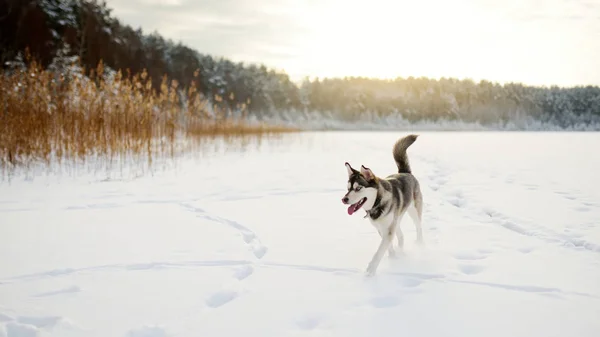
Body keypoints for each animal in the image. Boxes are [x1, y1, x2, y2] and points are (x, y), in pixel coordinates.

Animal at [342, 134, 422, 276]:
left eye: (358, 188)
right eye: (348, 189)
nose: (344, 199)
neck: (377, 203)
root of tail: (405, 172)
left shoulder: (388, 229)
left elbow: (380, 251)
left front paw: (371, 269)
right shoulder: (382, 228)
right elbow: (387, 245)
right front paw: (393, 257)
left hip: (414, 211)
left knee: (419, 227)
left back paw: (420, 245)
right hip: (397, 219)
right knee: (401, 235)